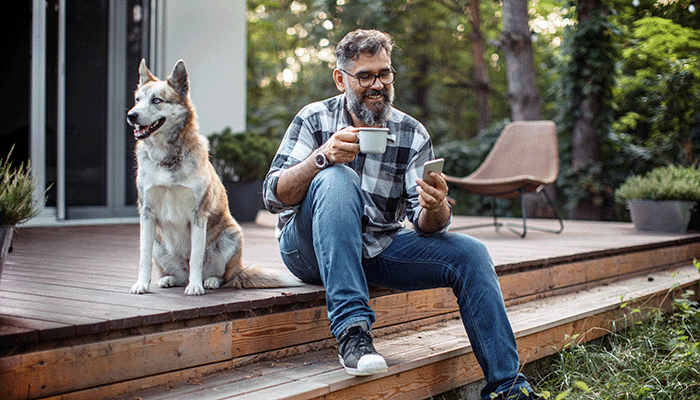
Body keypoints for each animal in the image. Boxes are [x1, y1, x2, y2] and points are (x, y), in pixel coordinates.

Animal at [127, 60, 300, 296]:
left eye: (156, 100)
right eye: (137, 100)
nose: (131, 115)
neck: (168, 160)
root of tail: (239, 270)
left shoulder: (198, 215)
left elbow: (196, 257)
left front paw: (196, 286)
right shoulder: (147, 214)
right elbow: (143, 257)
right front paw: (142, 284)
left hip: (231, 235)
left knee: (221, 275)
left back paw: (209, 281)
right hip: (158, 243)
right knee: (176, 273)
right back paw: (169, 279)